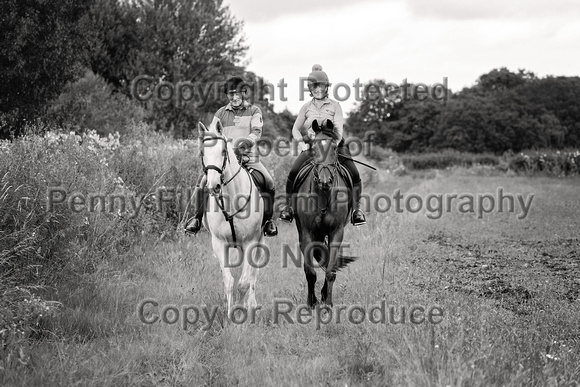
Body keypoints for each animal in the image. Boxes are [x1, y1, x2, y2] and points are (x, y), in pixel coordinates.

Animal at [197, 119, 266, 316]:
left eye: (223, 151)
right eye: (203, 152)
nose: (213, 186)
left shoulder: (251, 242)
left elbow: (244, 283)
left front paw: (241, 312)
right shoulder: (219, 243)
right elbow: (228, 281)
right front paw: (229, 313)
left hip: (260, 241)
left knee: (253, 276)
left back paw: (252, 304)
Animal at [292, 119, 356, 308]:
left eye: (334, 147)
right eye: (314, 147)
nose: (325, 181)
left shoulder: (336, 232)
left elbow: (330, 269)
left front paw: (328, 303)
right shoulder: (307, 233)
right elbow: (310, 272)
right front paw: (311, 303)